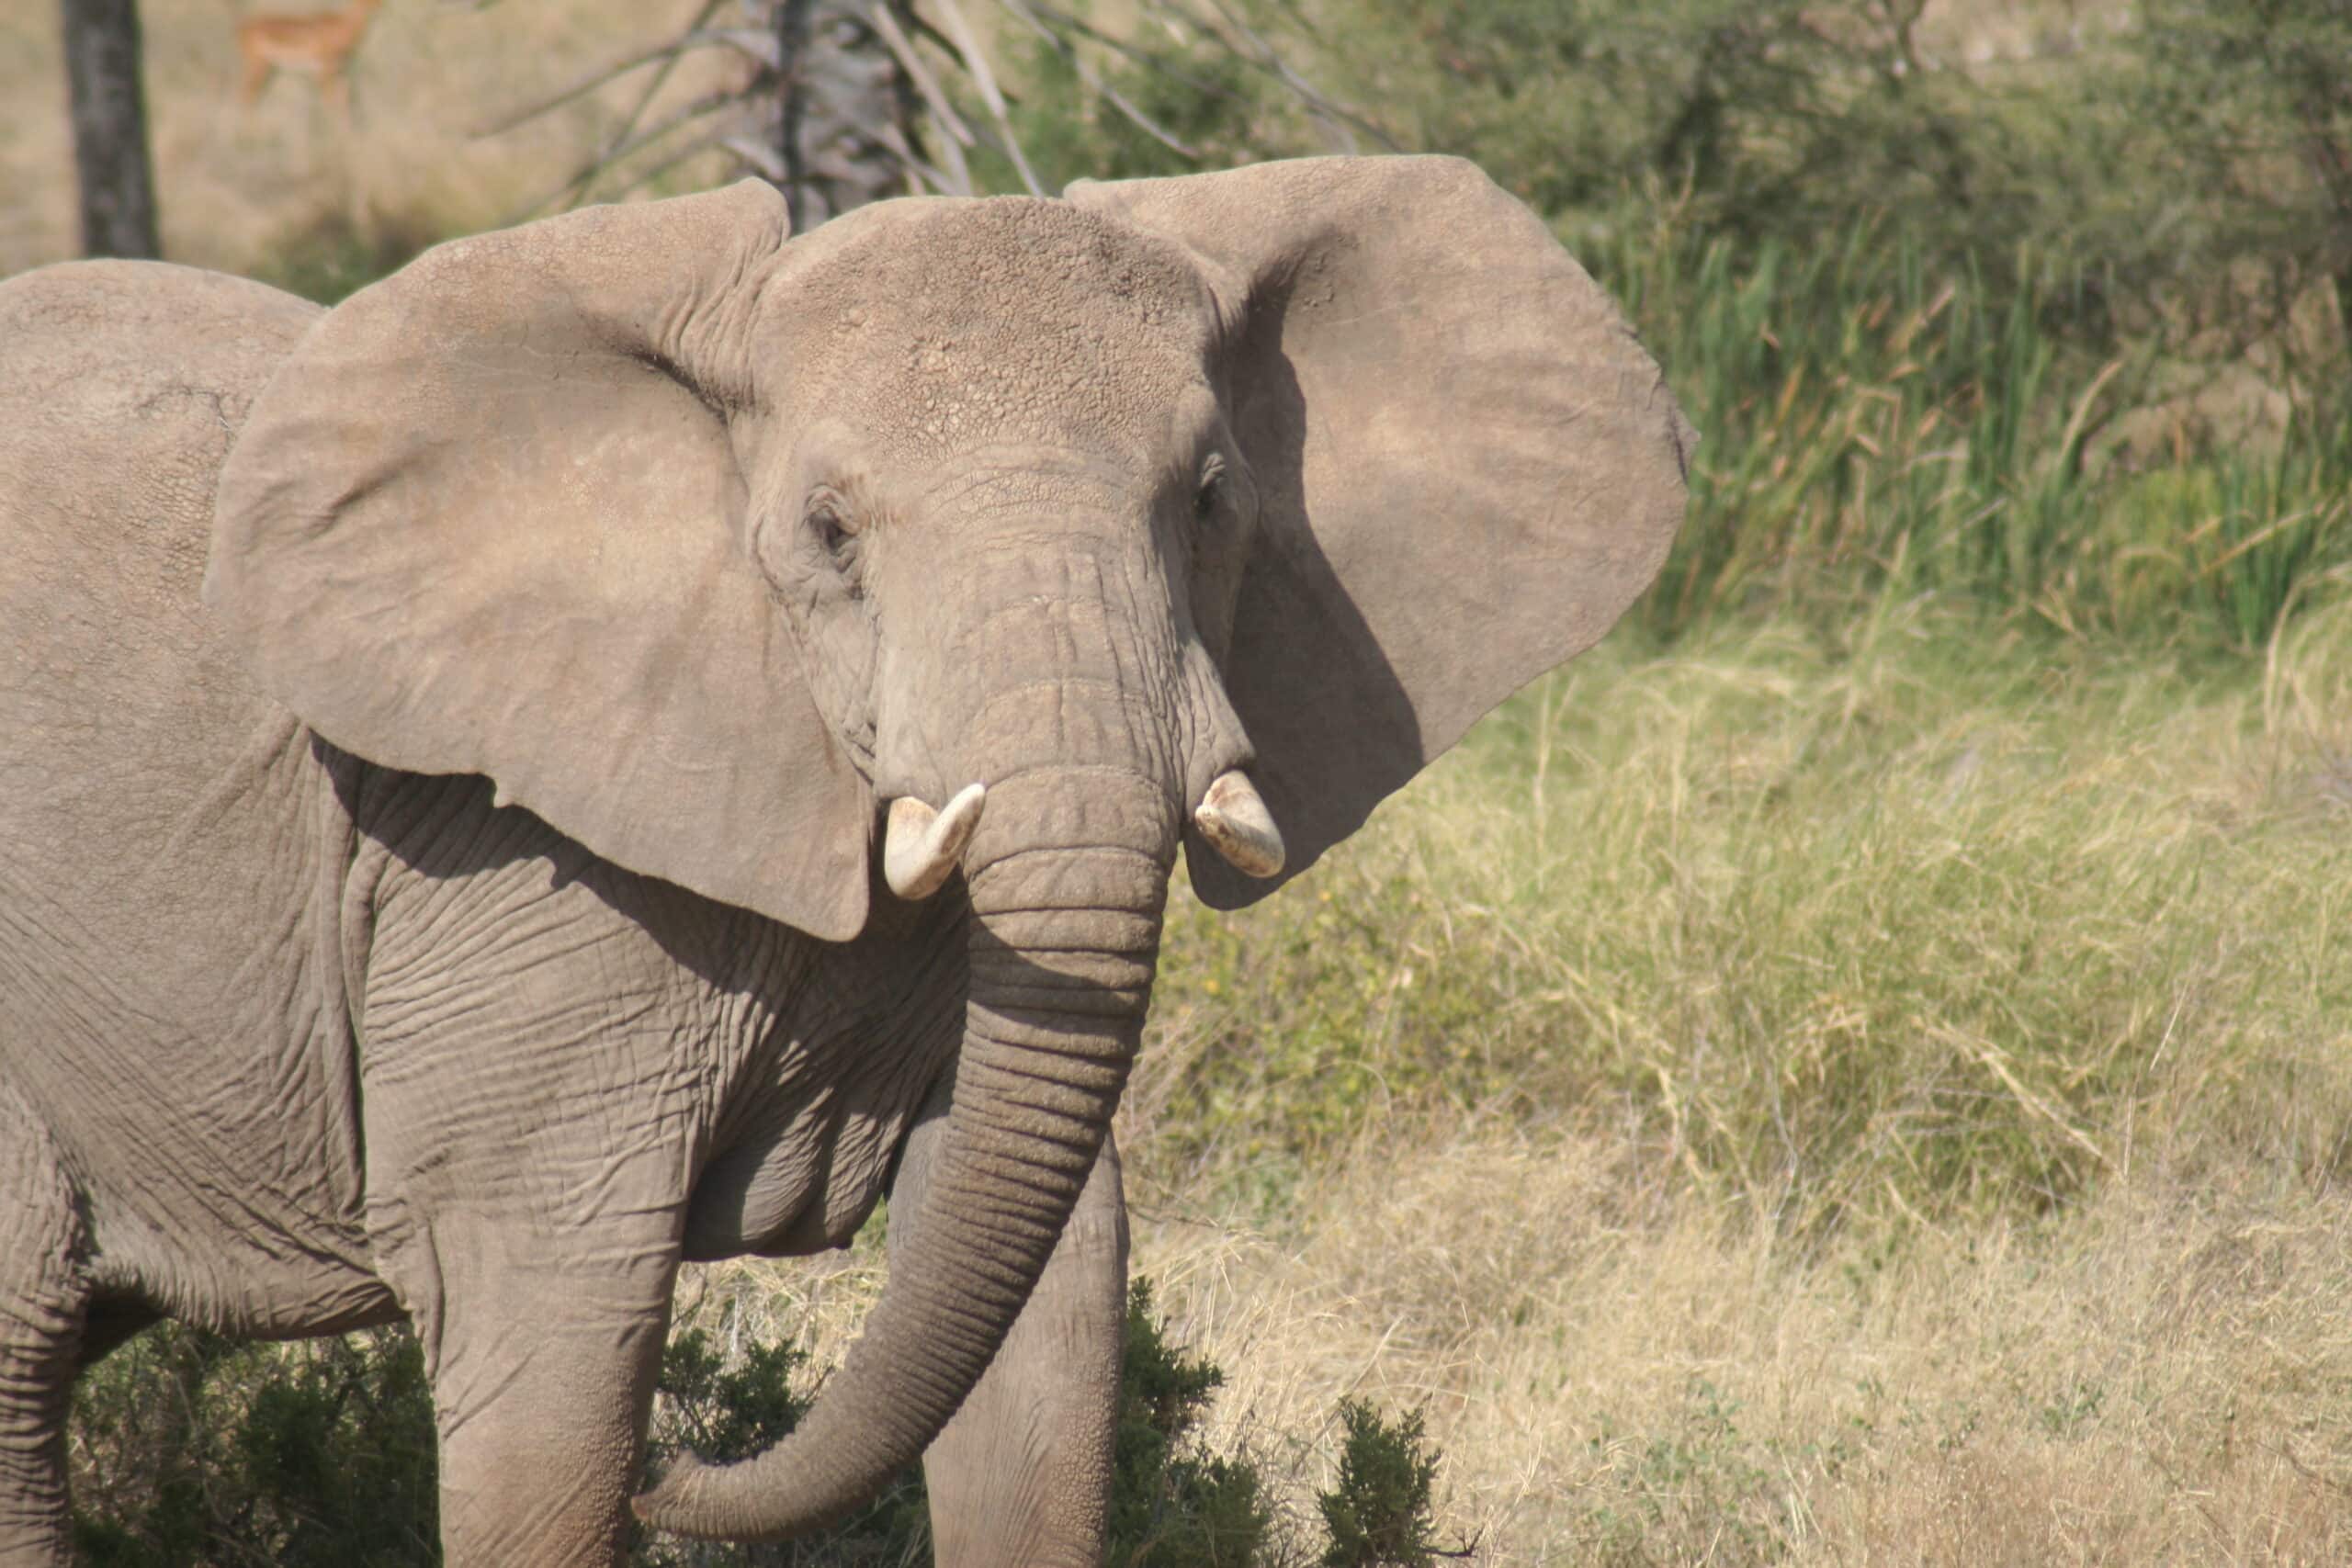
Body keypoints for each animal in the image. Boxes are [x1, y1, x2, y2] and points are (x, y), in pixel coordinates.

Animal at [0, 156, 1690, 1565]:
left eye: (1213, 502)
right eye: (828, 532)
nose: (682, 1471)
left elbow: (1035, 1295)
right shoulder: (500, 881)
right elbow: (546, 1348)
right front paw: (616, 1452)